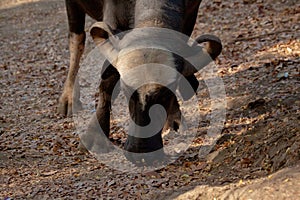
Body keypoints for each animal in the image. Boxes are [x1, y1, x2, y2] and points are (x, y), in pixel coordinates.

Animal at [58, 0, 223, 164]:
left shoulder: (191, 13)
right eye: (125, 90)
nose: (141, 152)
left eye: (167, 92)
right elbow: (109, 81)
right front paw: (96, 136)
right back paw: (69, 98)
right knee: (76, 40)